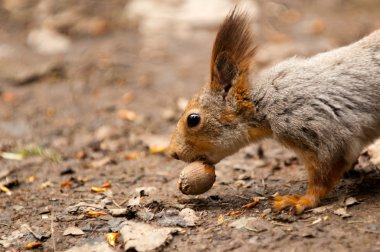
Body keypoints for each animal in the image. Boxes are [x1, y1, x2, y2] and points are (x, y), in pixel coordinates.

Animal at [168, 8, 380, 214]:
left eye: (193, 119)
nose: (172, 153)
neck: (265, 102)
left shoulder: (321, 129)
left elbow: (325, 173)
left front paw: (301, 200)